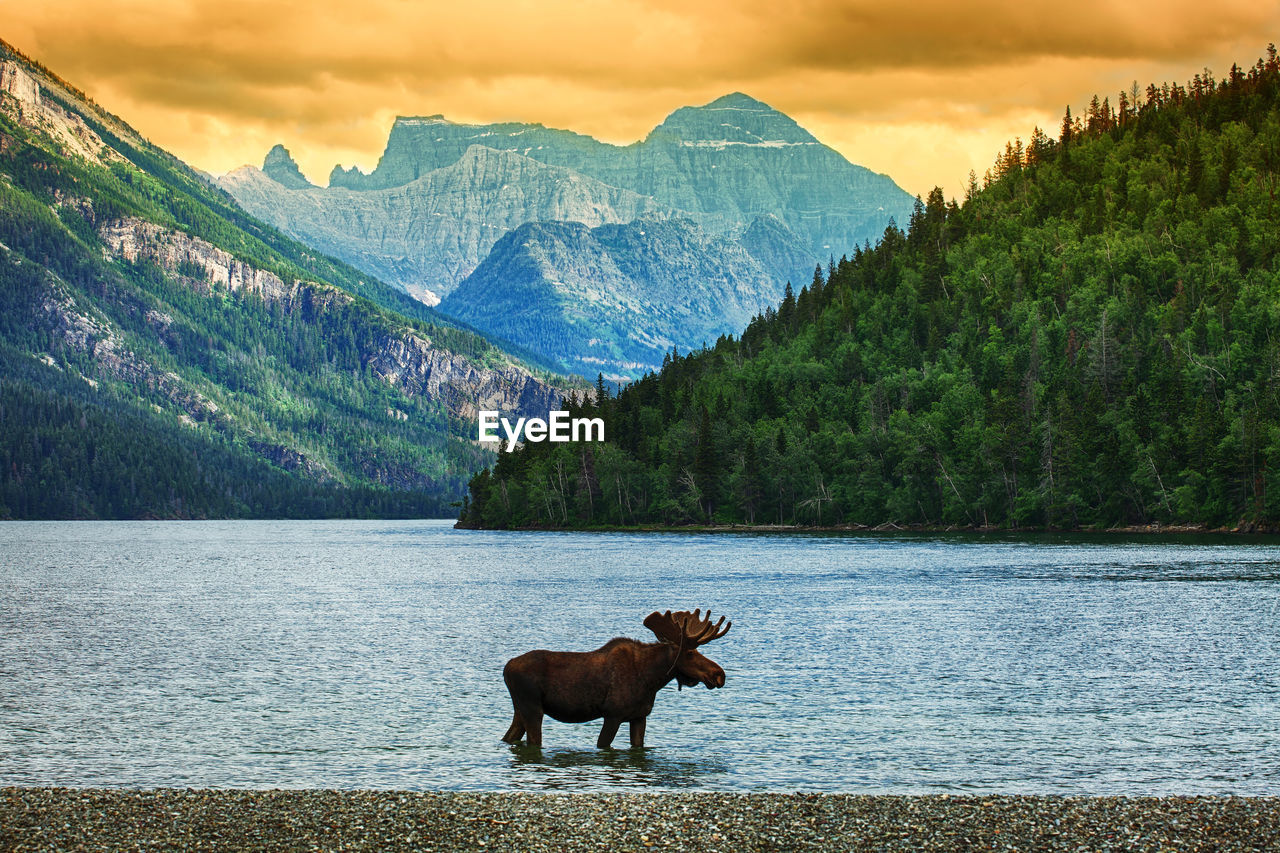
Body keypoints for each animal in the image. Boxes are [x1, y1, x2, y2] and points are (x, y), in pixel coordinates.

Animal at [504, 604, 737, 742]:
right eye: (689, 652)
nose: (719, 674)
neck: (651, 680)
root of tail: (506, 668)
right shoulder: (613, 714)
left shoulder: (639, 717)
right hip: (533, 708)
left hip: (520, 709)